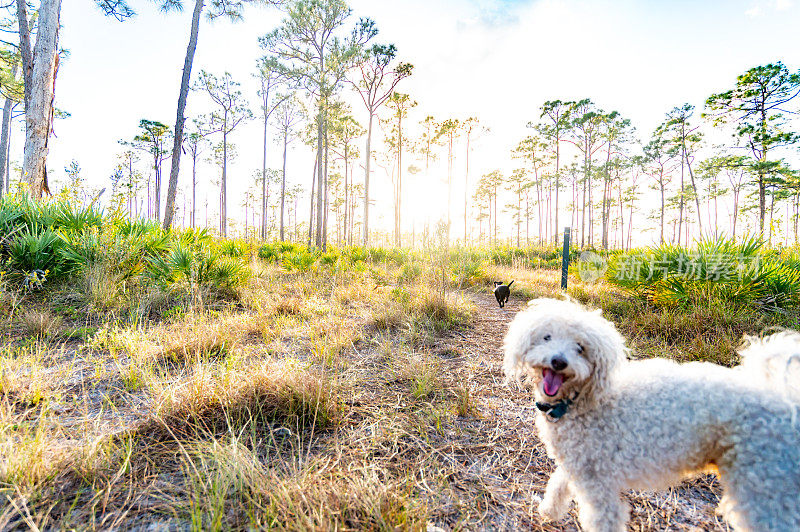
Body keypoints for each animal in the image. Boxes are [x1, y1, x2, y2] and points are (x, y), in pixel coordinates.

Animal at [504, 298, 800, 532]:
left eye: (580, 347)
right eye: (547, 337)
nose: (558, 361)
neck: (581, 400)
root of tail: (785, 398)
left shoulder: (597, 484)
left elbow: (602, 518)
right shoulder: (578, 463)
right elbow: (557, 484)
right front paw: (548, 511)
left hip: (763, 487)